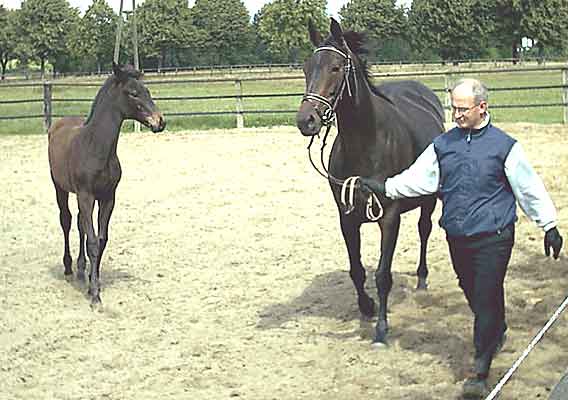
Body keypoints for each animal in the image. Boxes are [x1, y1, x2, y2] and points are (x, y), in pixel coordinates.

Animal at [48, 62, 165, 304]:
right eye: (133, 93)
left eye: (147, 91)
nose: (160, 121)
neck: (96, 147)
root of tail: (58, 124)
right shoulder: (86, 195)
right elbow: (92, 241)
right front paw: (94, 295)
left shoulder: (108, 197)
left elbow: (100, 239)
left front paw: (95, 282)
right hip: (60, 187)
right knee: (66, 220)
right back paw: (68, 267)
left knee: (80, 224)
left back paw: (81, 270)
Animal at [296, 18, 446, 344]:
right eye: (306, 68)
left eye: (336, 68)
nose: (306, 120)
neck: (365, 143)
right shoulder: (346, 217)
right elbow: (357, 270)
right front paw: (366, 307)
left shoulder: (389, 217)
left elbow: (382, 274)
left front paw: (381, 329)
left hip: (427, 201)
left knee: (424, 230)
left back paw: (422, 278)